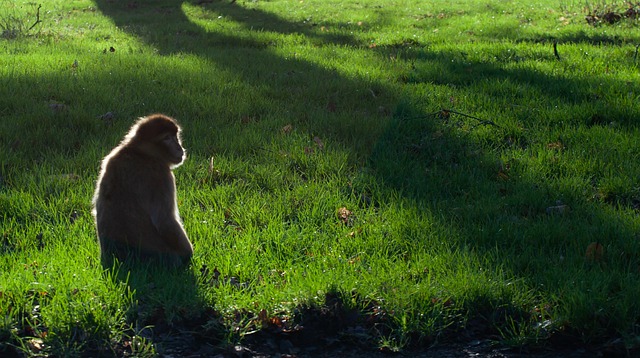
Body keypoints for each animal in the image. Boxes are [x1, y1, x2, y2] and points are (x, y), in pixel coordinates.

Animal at [91, 113, 192, 268]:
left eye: (176, 136)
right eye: (167, 138)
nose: (179, 148)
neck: (140, 152)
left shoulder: (111, 159)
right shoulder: (162, 175)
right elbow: (164, 221)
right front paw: (188, 253)